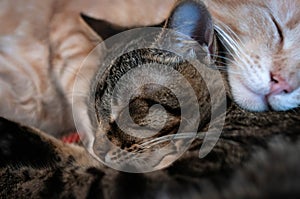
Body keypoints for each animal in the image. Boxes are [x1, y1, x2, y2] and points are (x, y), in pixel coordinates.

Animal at [0, 0, 300, 198]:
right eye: (92, 113)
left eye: (131, 109)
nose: (98, 147)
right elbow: (67, 153)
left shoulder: (172, 178)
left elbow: (55, 177)